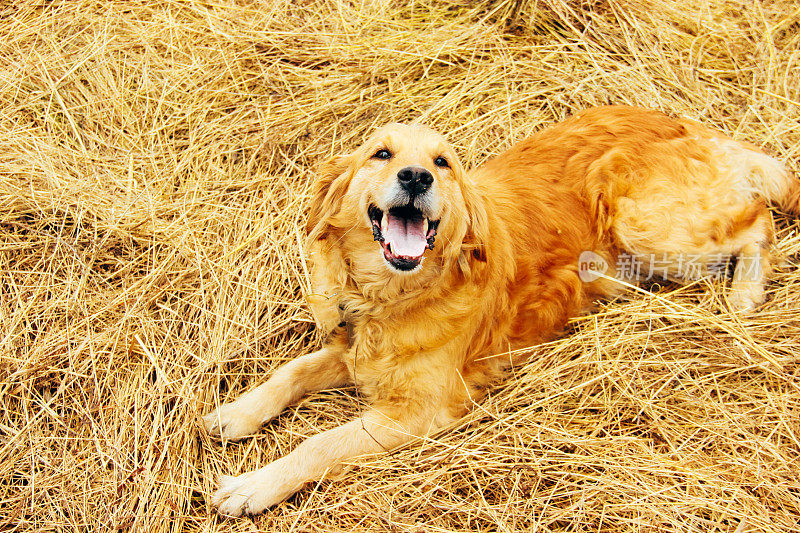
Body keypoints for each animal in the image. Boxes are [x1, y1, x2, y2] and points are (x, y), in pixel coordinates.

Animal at [203, 105, 796, 516]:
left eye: (442, 162)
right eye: (381, 154)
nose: (416, 177)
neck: (393, 296)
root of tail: (701, 130)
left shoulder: (421, 411)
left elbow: (319, 444)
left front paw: (253, 485)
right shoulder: (354, 350)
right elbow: (292, 371)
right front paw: (238, 413)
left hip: (649, 225)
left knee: (758, 222)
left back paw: (745, 296)